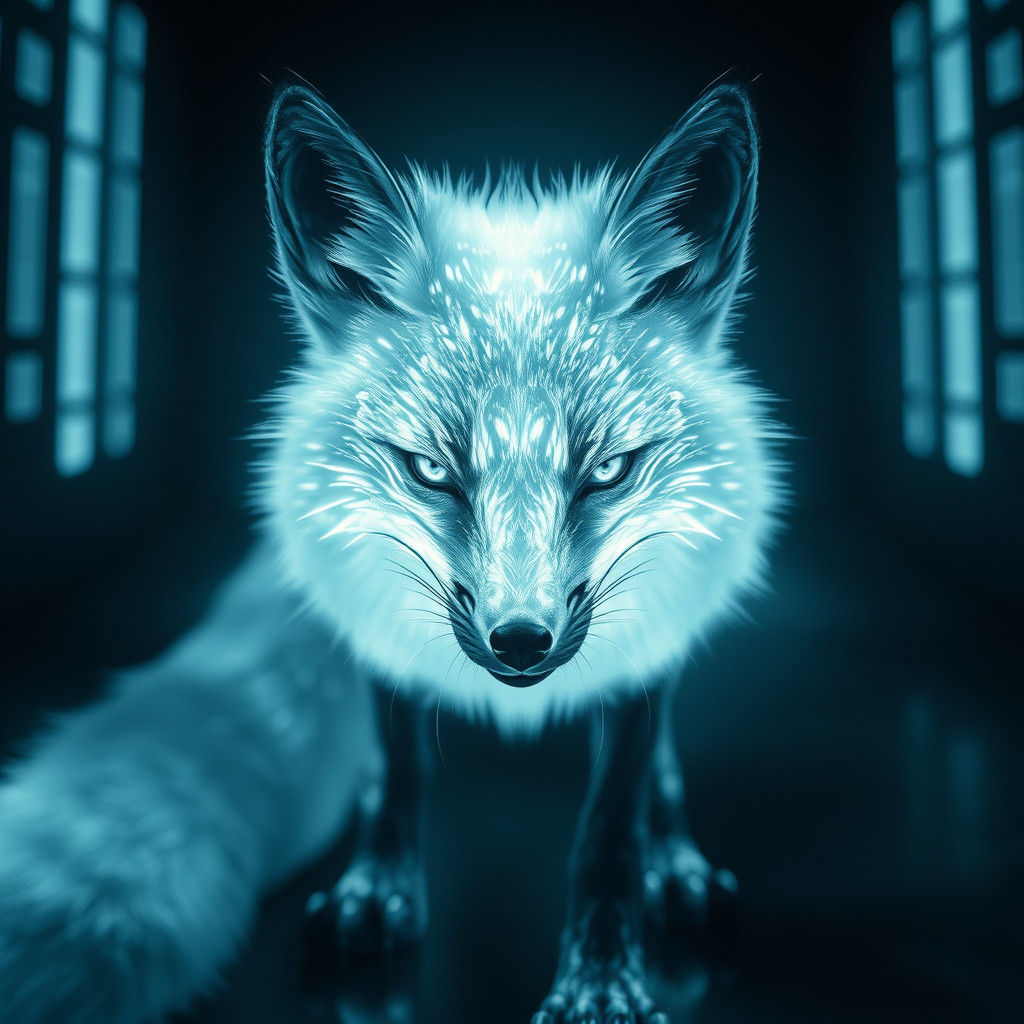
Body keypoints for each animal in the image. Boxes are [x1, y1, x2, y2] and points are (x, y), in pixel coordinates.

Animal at [0, 83, 783, 1024]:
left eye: (606, 471)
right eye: (431, 470)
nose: (521, 642)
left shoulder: (643, 644)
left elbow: (609, 828)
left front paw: (602, 978)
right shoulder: (371, 609)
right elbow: (398, 768)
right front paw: (380, 886)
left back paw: (676, 860)